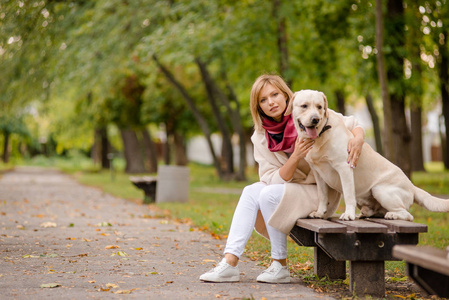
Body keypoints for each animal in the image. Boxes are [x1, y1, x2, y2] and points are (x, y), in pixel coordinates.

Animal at [288, 89, 448, 220]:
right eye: (304, 106)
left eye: (319, 107)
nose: (315, 119)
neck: (321, 135)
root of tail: (412, 186)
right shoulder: (318, 173)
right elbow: (322, 195)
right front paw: (320, 213)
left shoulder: (344, 168)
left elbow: (348, 195)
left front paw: (348, 214)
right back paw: (366, 214)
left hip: (379, 190)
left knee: (408, 215)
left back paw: (392, 215)